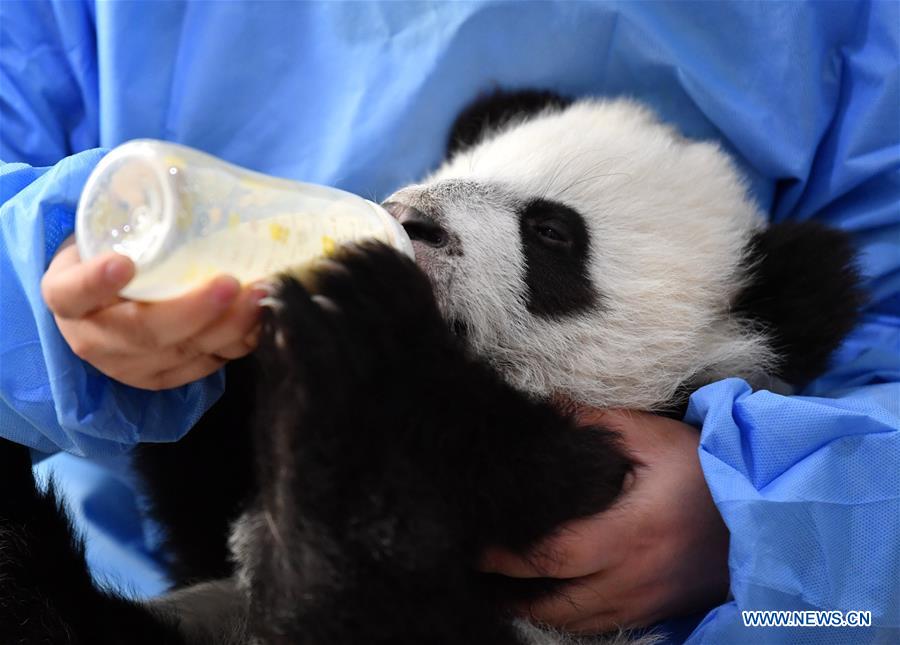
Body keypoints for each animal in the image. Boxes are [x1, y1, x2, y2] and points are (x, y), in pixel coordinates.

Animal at [0, 90, 863, 645]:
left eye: (552, 232)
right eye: (459, 167)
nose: (413, 220)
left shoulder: (554, 521)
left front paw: (366, 330)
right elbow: (205, 497)